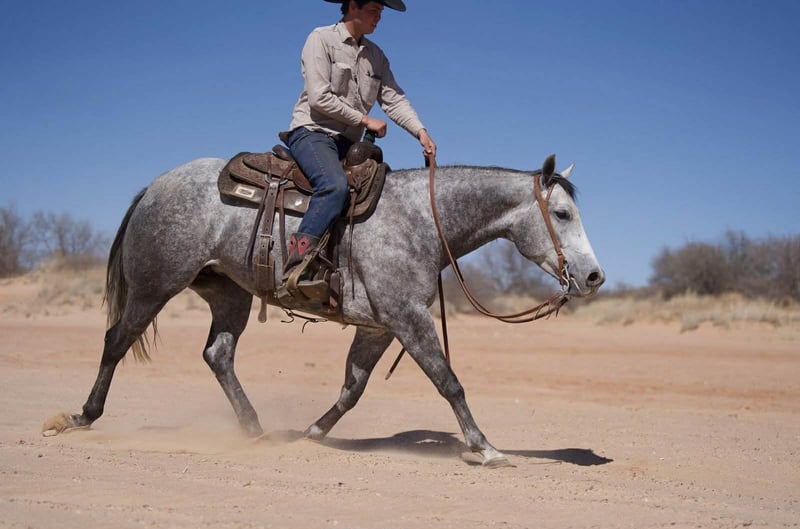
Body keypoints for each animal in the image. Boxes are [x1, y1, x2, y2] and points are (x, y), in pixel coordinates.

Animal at [42, 153, 605, 467]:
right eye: (561, 214)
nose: (594, 277)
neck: (420, 219)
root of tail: (153, 187)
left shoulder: (379, 328)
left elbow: (352, 389)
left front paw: (310, 435)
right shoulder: (408, 318)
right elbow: (450, 382)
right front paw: (486, 448)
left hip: (228, 294)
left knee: (218, 354)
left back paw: (255, 431)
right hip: (154, 286)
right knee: (117, 340)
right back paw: (79, 416)